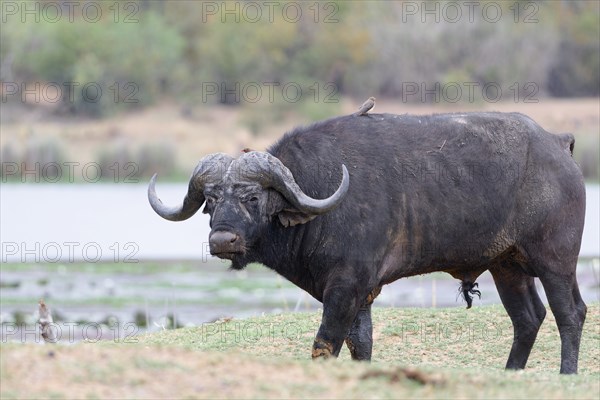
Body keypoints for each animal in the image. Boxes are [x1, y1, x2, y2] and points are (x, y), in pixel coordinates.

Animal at [148, 111, 584, 374]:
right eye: (210, 201)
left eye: (252, 197)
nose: (222, 239)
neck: (318, 193)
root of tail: (558, 144)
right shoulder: (361, 295)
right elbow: (362, 345)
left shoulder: (345, 287)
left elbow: (325, 344)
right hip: (507, 266)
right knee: (528, 318)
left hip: (556, 261)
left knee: (570, 313)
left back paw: (567, 374)